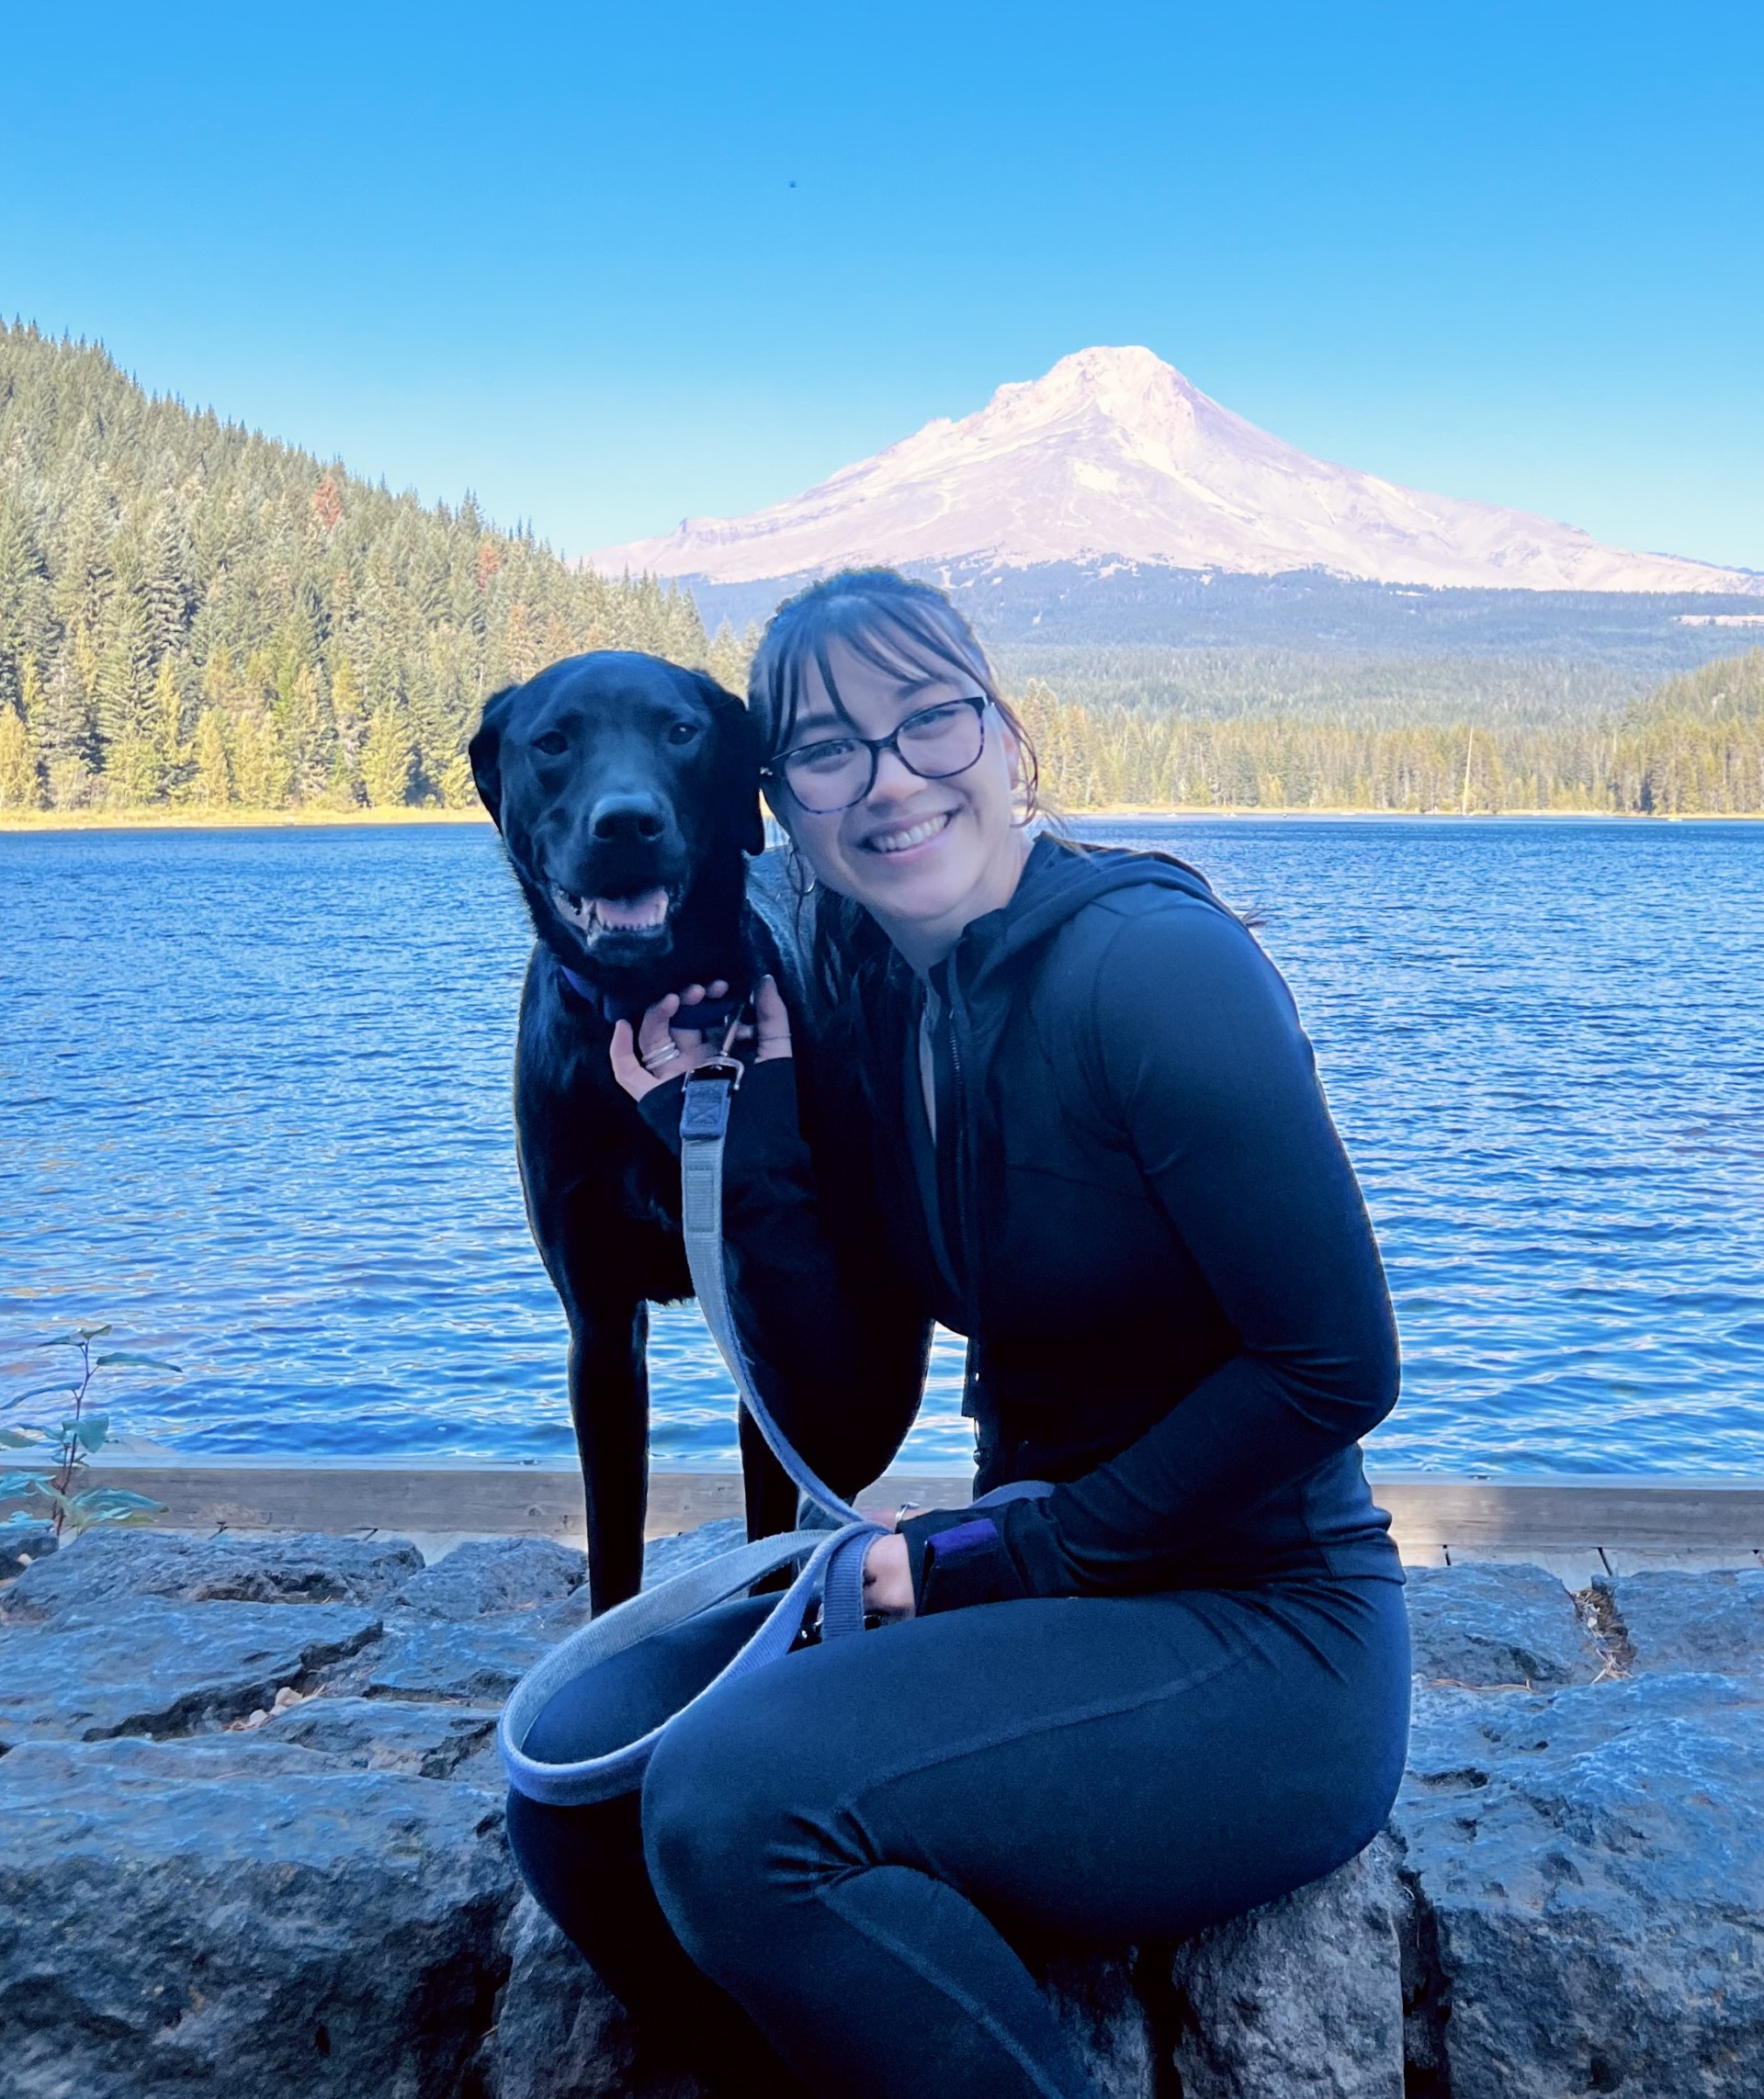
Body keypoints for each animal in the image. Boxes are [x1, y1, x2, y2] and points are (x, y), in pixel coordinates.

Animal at [472, 646, 794, 1611]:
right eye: (552, 741)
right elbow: (613, 1542)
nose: (627, 823)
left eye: (680, 730)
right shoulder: (601, 1326)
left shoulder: (768, 1316)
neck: (653, 1012)